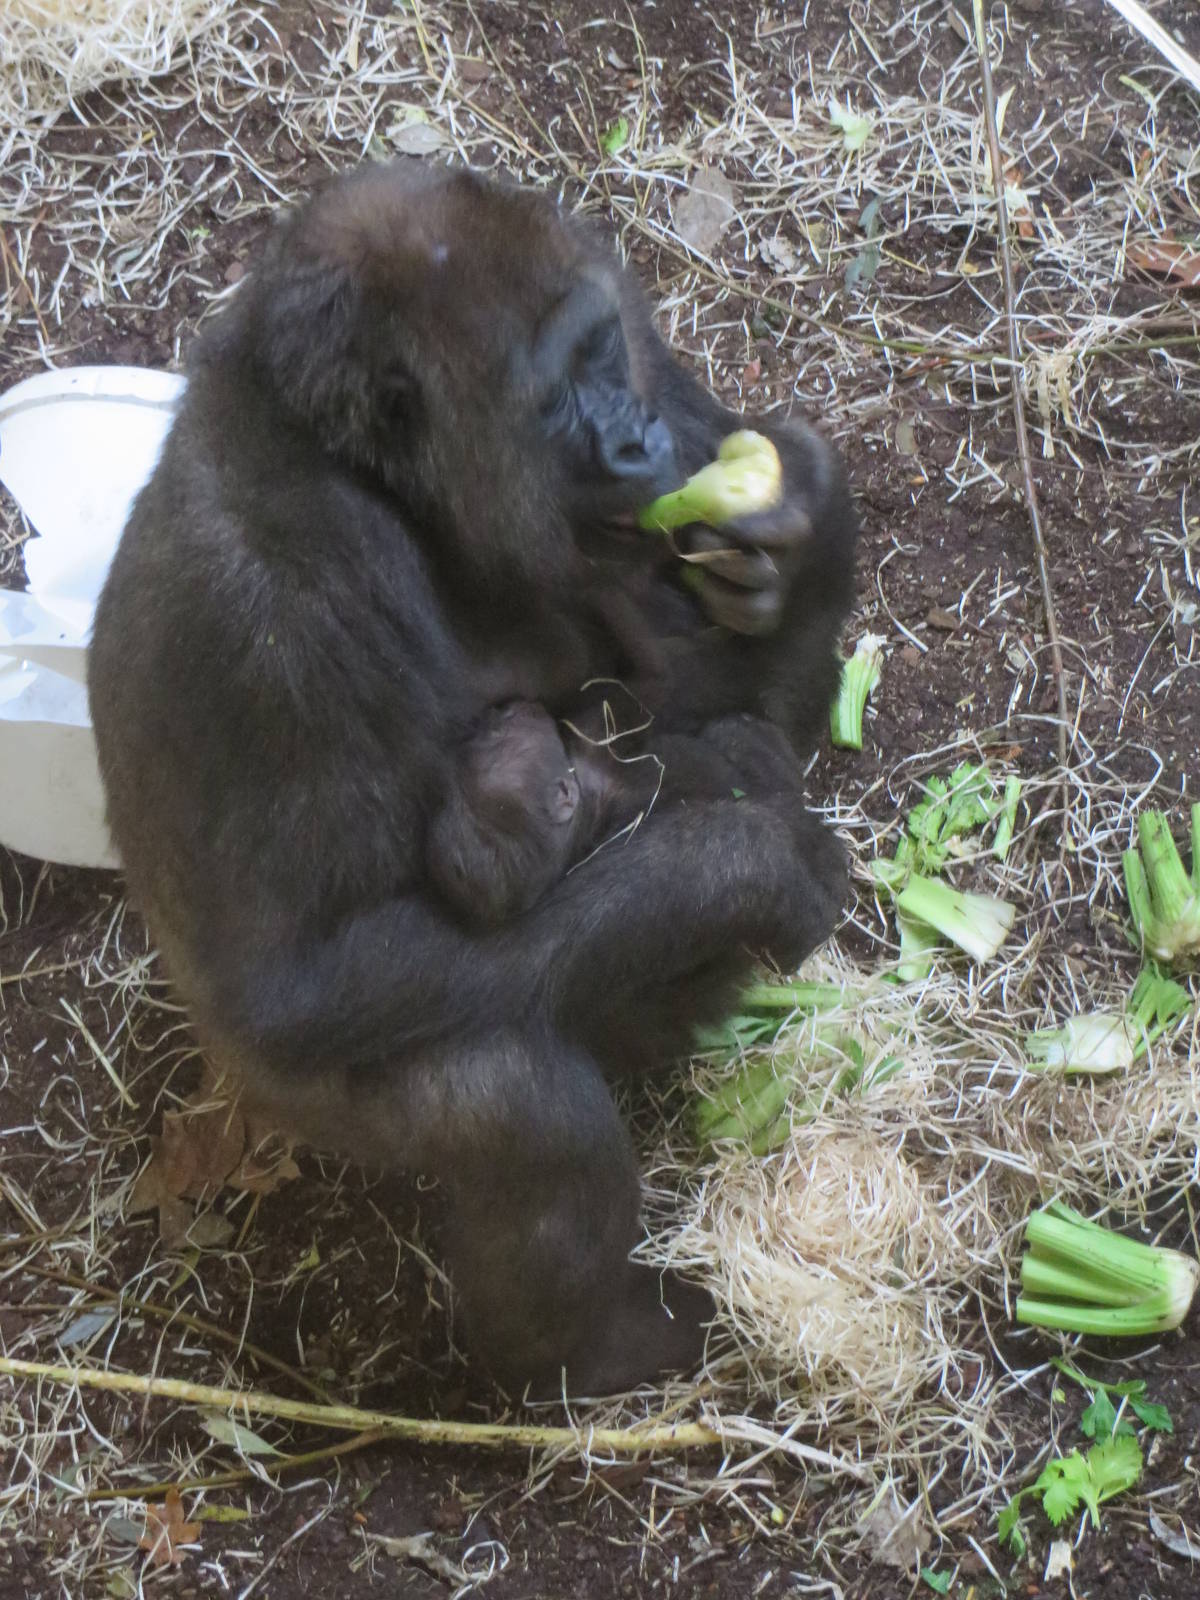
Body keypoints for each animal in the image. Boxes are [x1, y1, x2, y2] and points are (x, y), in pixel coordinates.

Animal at [88, 160, 856, 1397]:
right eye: (556, 400)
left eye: (601, 354)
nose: (639, 440)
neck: (379, 479)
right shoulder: (257, 601)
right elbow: (309, 979)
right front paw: (749, 865)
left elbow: (727, 704)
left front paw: (793, 529)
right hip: (271, 1090)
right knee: (514, 1105)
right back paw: (582, 1352)